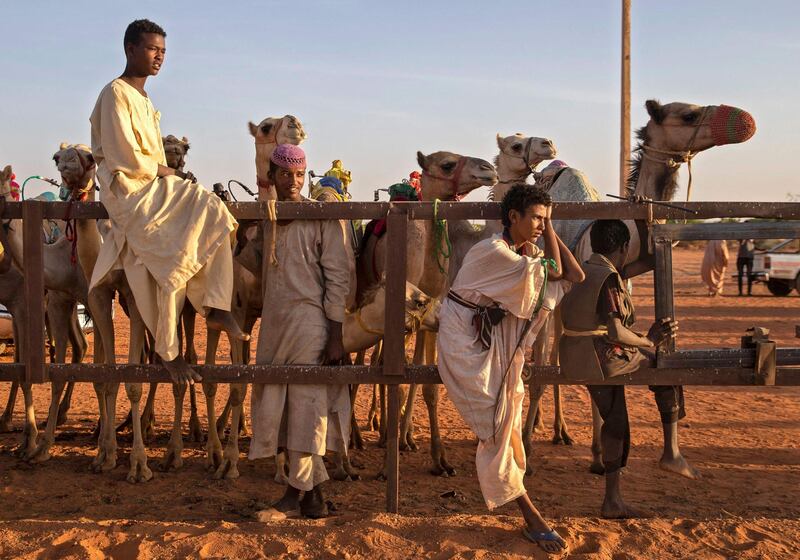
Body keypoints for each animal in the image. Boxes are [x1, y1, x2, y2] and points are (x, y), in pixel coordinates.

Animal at [358, 150, 500, 476]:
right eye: (447, 164)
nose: (489, 168)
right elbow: (395, 376)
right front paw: (388, 464)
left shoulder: (432, 310)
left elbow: (429, 383)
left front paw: (440, 460)